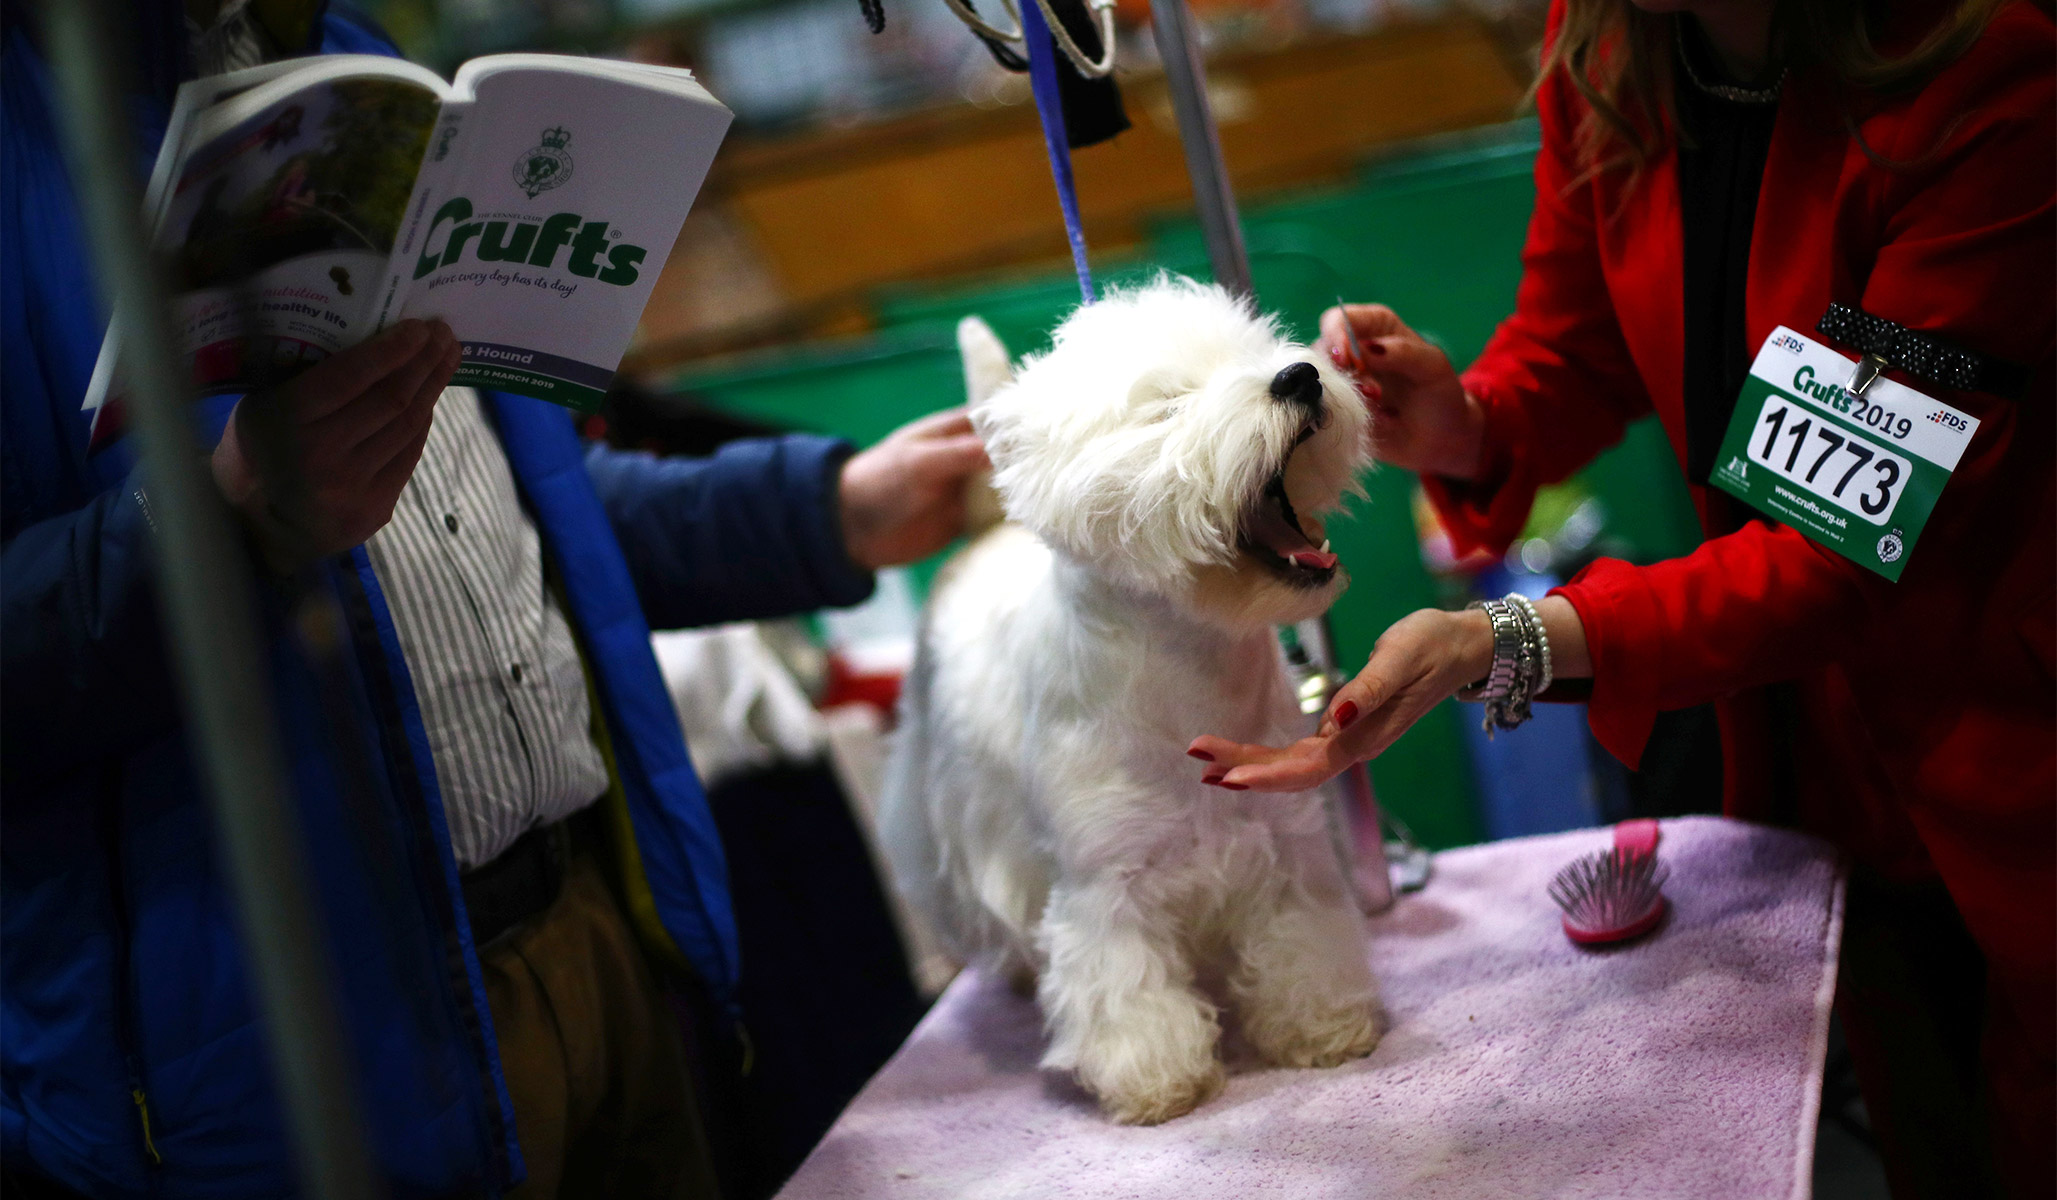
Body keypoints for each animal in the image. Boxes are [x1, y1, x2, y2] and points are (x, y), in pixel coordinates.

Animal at [880, 273, 1382, 1127]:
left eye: (1258, 346)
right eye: (1167, 406)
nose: (1299, 376)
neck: (1194, 671)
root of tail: (986, 527)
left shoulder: (1287, 840)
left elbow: (1302, 940)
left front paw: (1323, 1024)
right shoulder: (1103, 883)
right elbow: (1122, 986)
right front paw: (1157, 1079)